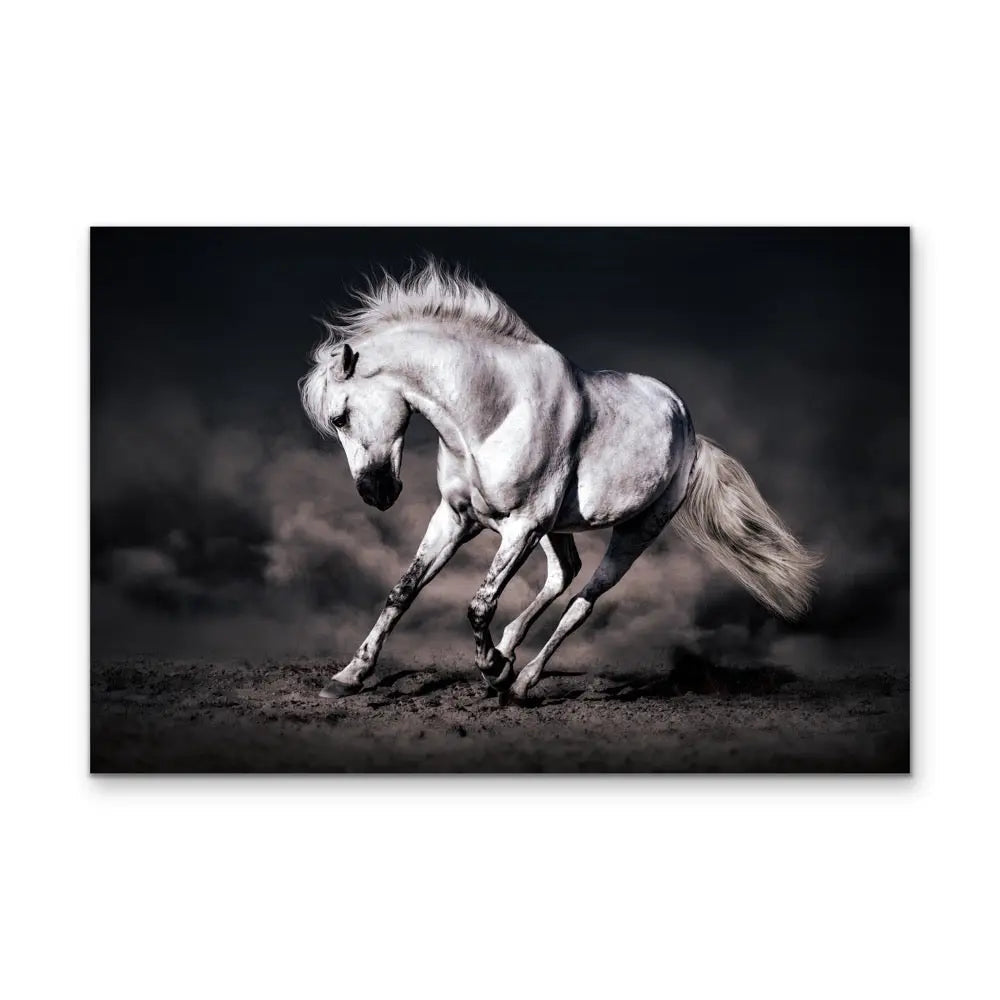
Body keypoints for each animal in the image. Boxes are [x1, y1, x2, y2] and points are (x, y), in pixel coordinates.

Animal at [299, 260, 820, 704]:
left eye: (341, 416)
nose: (375, 494)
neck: (494, 413)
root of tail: (690, 431)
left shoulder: (523, 525)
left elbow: (479, 605)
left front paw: (493, 670)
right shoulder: (458, 517)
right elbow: (403, 591)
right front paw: (348, 677)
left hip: (636, 530)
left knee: (582, 601)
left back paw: (520, 680)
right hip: (557, 529)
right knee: (563, 574)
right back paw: (510, 651)